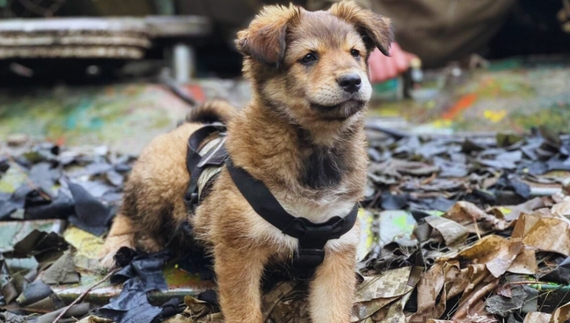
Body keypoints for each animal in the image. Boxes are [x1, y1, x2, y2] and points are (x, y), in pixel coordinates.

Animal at [100, 1, 388, 322]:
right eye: (309, 57)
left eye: (355, 53)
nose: (353, 81)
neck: (316, 155)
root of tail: (183, 127)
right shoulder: (239, 248)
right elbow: (244, 310)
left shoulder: (337, 254)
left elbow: (333, 311)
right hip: (157, 184)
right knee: (126, 212)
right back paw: (118, 246)